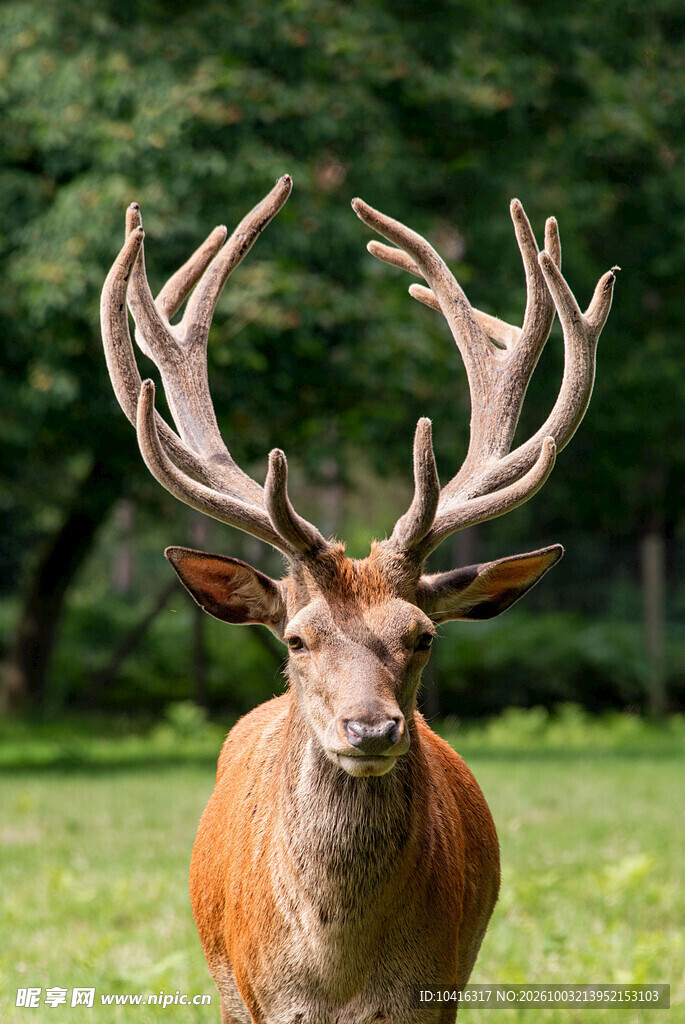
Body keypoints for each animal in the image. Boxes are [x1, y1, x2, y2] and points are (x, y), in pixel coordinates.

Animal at [100, 175, 615, 1024]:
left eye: (422, 636)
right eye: (296, 638)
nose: (370, 728)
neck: (338, 980)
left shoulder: (434, 991)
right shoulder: (258, 997)